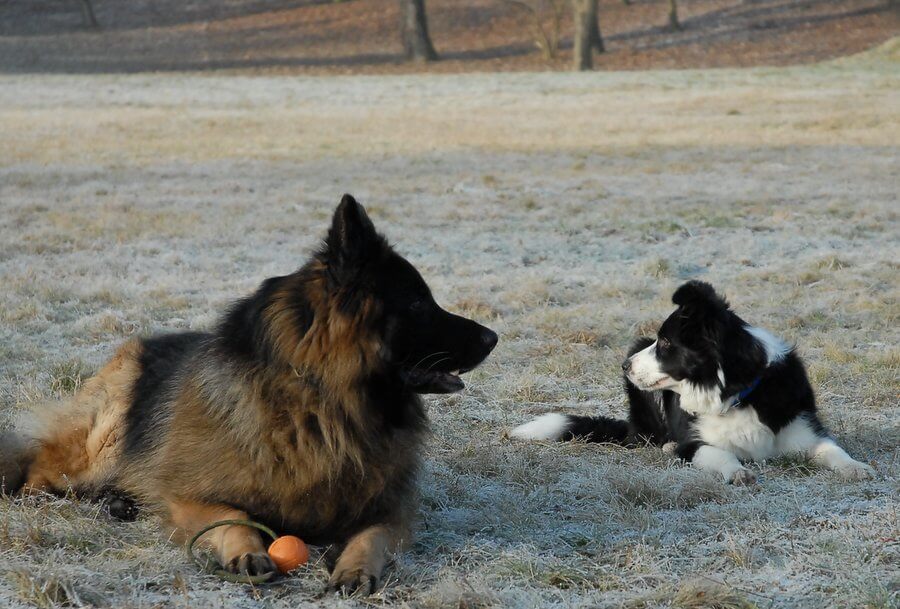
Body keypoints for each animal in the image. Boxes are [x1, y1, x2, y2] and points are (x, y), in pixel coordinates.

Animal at [0, 196, 500, 592]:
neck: (320, 405)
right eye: (418, 303)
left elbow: (370, 536)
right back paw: (45, 497)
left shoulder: (388, 509)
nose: (494, 337)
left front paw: (355, 569)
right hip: (103, 440)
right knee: (43, 467)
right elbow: (235, 517)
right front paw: (246, 551)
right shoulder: (192, 497)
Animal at [512, 280, 872, 484]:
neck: (736, 394)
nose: (625, 366)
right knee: (650, 437)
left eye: (665, 343)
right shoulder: (694, 442)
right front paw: (737, 473)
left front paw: (856, 467)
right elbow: (719, 454)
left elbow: (832, 449)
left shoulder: (804, 431)